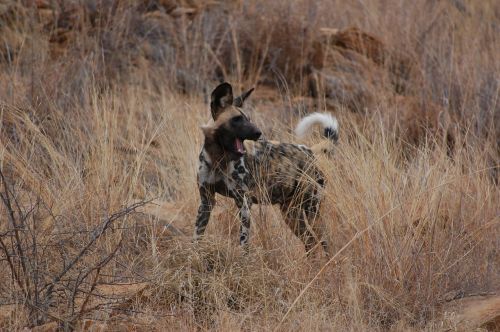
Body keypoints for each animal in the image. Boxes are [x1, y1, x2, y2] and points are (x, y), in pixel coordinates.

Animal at [193, 81, 338, 253]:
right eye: (236, 119)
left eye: (248, 119)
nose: (258, 133)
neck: (218, 158)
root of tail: (309, 150)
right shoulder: (206, 202)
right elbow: (197, 236)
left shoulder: (244, 203)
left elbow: (244, 243)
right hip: (291, 214)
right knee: (311, 243)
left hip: (312, 211)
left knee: (325, 242)